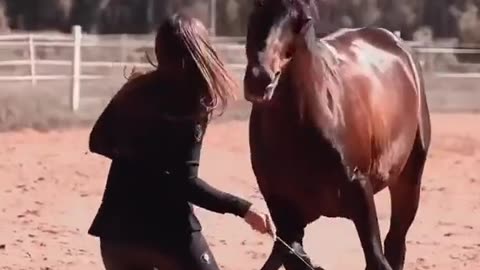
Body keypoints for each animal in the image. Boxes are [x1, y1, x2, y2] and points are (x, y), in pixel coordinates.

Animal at [244, 0, 432, 270]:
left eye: (305, 19)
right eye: (257, 6)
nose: (260, 79)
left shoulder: (360, 191)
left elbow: (376, 258)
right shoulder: (282, 206)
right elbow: (295, 256)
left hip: (408, 180)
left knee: (395, 243)